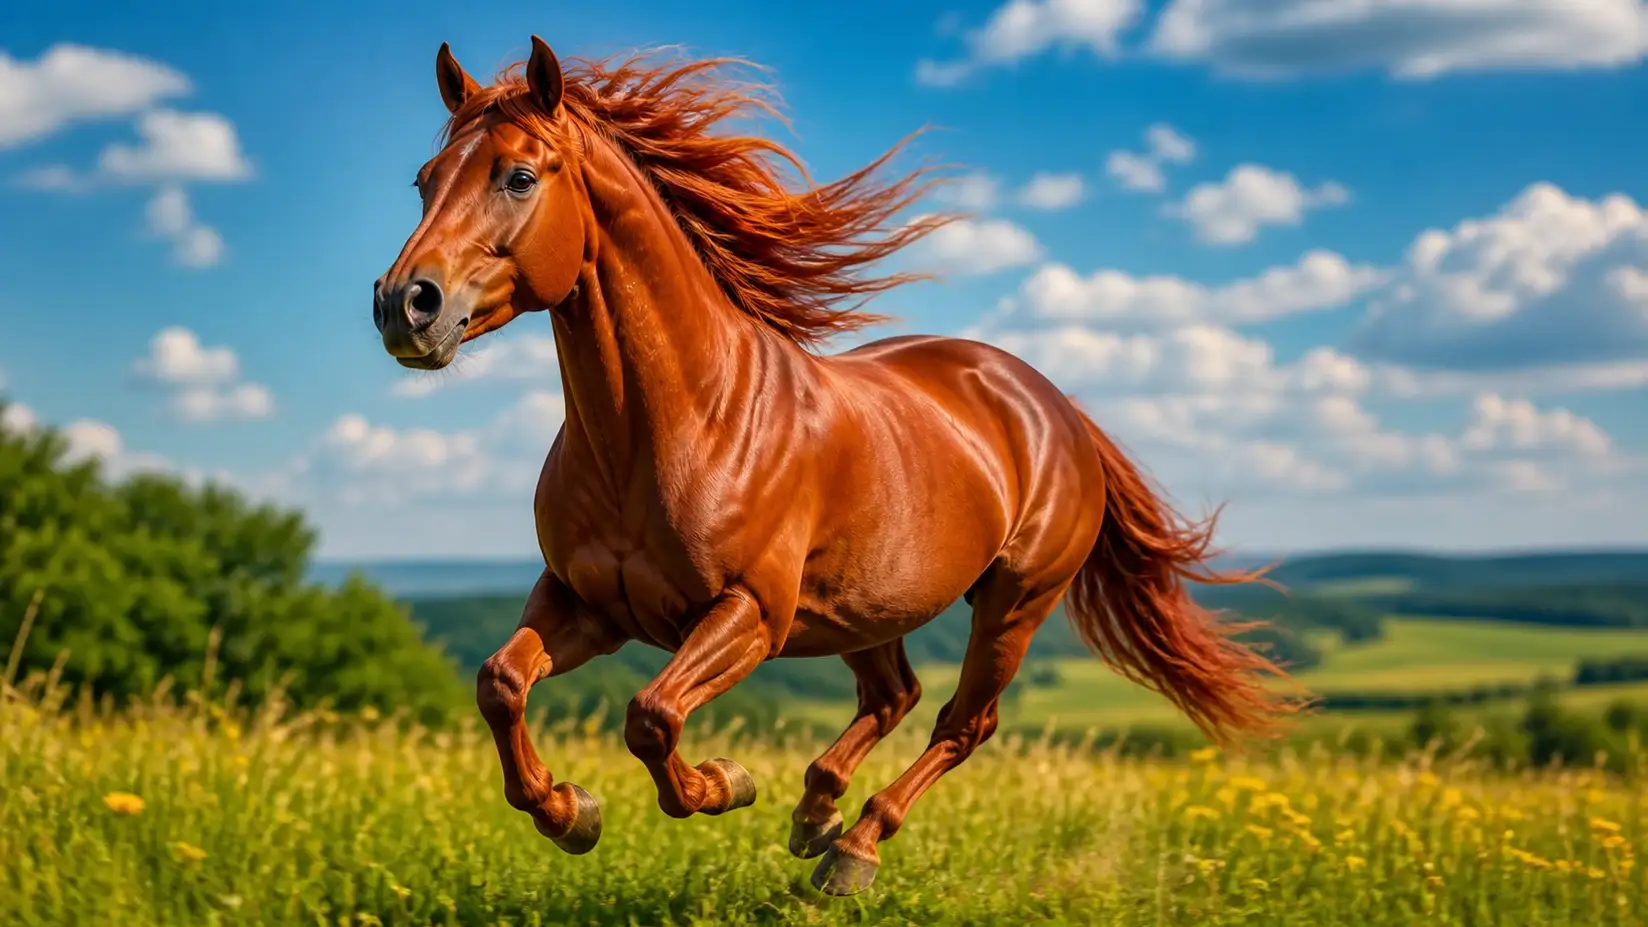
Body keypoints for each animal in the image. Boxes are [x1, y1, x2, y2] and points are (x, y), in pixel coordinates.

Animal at [372, 35, 1297, 895]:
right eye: (423, 180)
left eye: (520, 176)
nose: (404, 304)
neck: (673, 425)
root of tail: (1056, 408)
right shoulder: (587, 602)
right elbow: (500, 682)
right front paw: (570, 812)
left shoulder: (749, 612)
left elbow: (652, 715)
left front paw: (724, 784)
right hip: (867, 605)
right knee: (894, 695)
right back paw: (816, 812)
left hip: (1014, 602)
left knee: (962, 722)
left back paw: (852, 848)